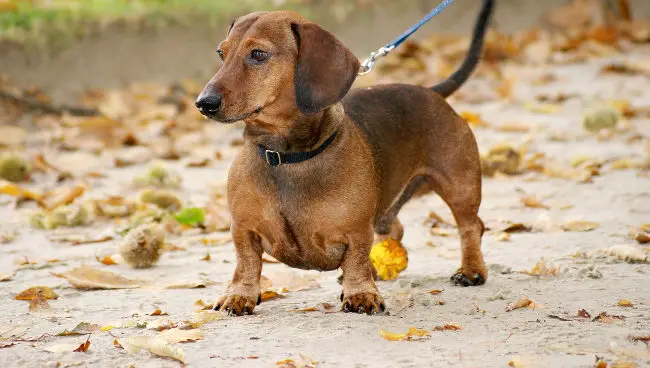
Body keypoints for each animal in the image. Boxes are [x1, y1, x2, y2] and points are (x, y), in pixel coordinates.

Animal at [195, 0, 494, 316]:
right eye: (221, 53)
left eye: (258, 54)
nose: (203, 103)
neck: (286, 156)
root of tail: (431, 91)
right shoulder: (243, 229)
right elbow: (246, 264)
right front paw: (239, 296)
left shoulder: (357, 230)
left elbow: (357, 259)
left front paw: (361, 293)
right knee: (394, 229)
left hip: (459, 185)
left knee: (471, 226)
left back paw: (471, 270)